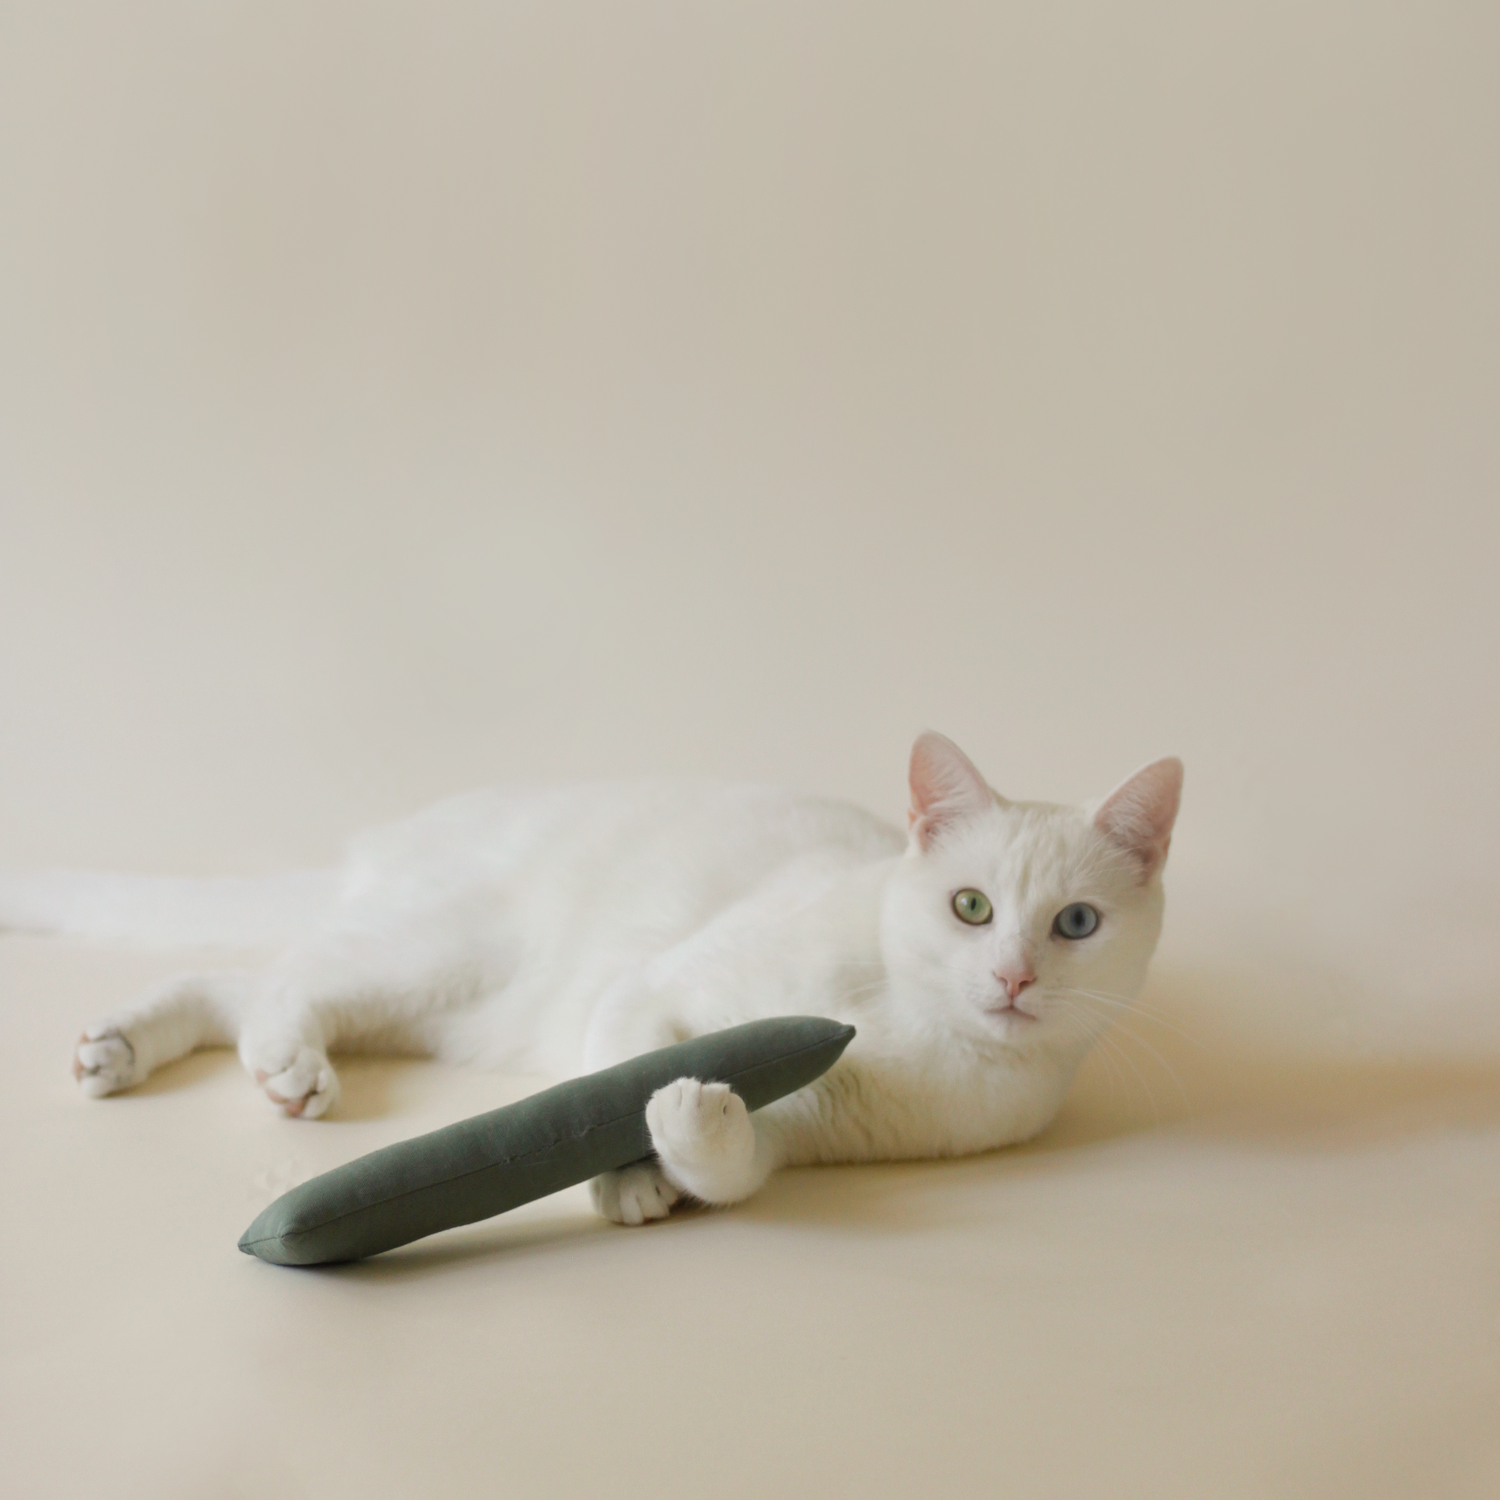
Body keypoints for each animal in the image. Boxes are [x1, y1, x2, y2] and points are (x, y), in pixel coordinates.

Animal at [8, 732, 1182, 1224]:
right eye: (971, 907)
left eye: (1076, 925)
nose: (1016, 976)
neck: (907, 1022)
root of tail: (380, 845)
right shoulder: (655, 988)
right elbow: (614, 1078)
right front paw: (624, 1175)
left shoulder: (808, 1131)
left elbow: (730, 1166)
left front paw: (688, 1132)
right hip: (441, 953)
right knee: (282, 972)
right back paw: (273, 1064)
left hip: (443, 1004)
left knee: (232, 978)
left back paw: (130, 1048)